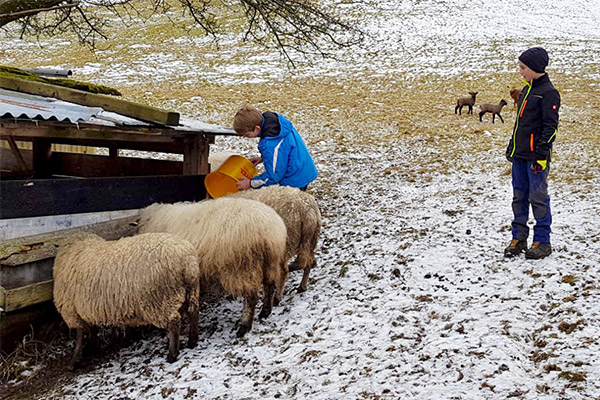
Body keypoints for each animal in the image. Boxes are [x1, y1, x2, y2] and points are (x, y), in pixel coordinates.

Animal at [54, 233, 199, 370]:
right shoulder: (88, 310)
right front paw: (93, 348)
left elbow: (80, 335)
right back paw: (192, 341)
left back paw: (172, 355)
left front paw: (74, 360)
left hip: (159, 300)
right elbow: (92, 330)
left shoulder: (71, 310)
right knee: (193, 313)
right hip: (189, 293)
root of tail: (187, 260)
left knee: (174, 322)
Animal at [138, 197, 286, 338]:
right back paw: (265, 312)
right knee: (269, 286)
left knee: (251, 298)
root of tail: (268, 228)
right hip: (270, 262)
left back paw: (244, 326)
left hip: (244, 267)